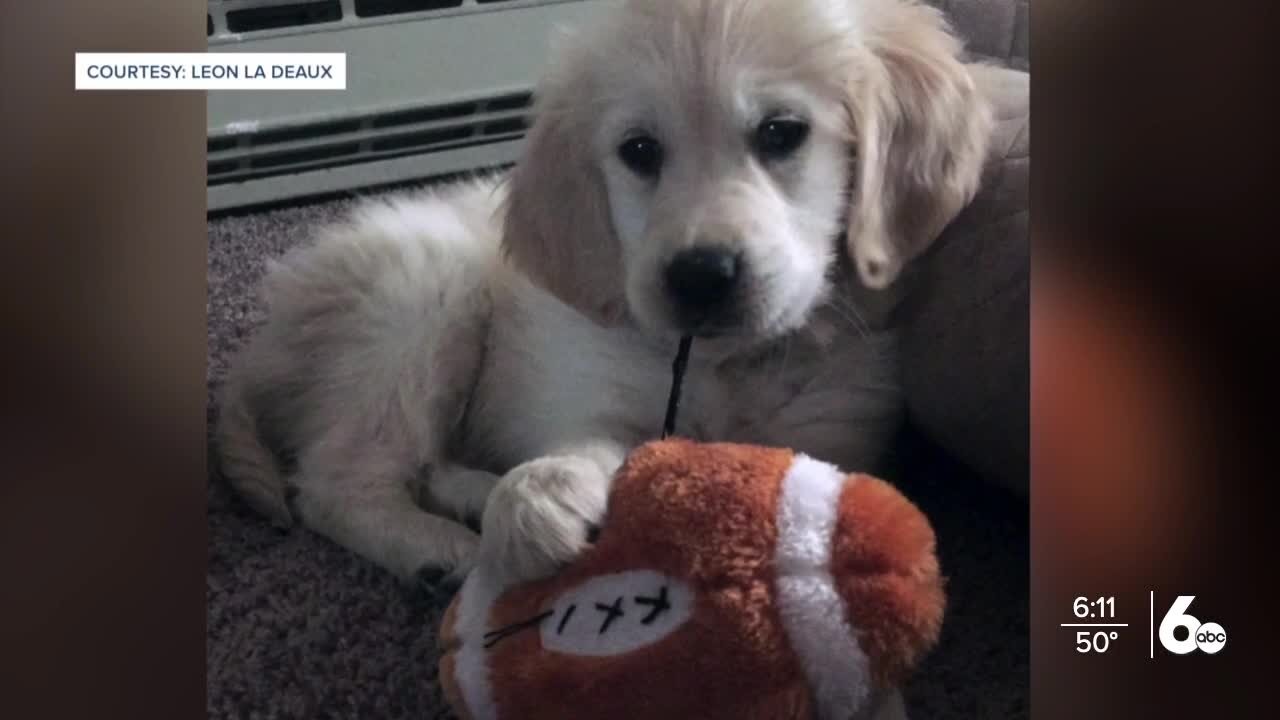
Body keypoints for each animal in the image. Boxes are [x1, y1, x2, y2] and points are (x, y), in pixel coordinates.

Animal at [217, 0, 988, 707]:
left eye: (782, 133)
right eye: (639, 151)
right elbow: (588, 444)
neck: (725, 366)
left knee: (415, 465)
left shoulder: (839, 435)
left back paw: (469, 500)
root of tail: (266, 339)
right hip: (418, 294)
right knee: (336, 483)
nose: (699, 276)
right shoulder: (593, 394)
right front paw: (540, 497)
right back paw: (443, 548)